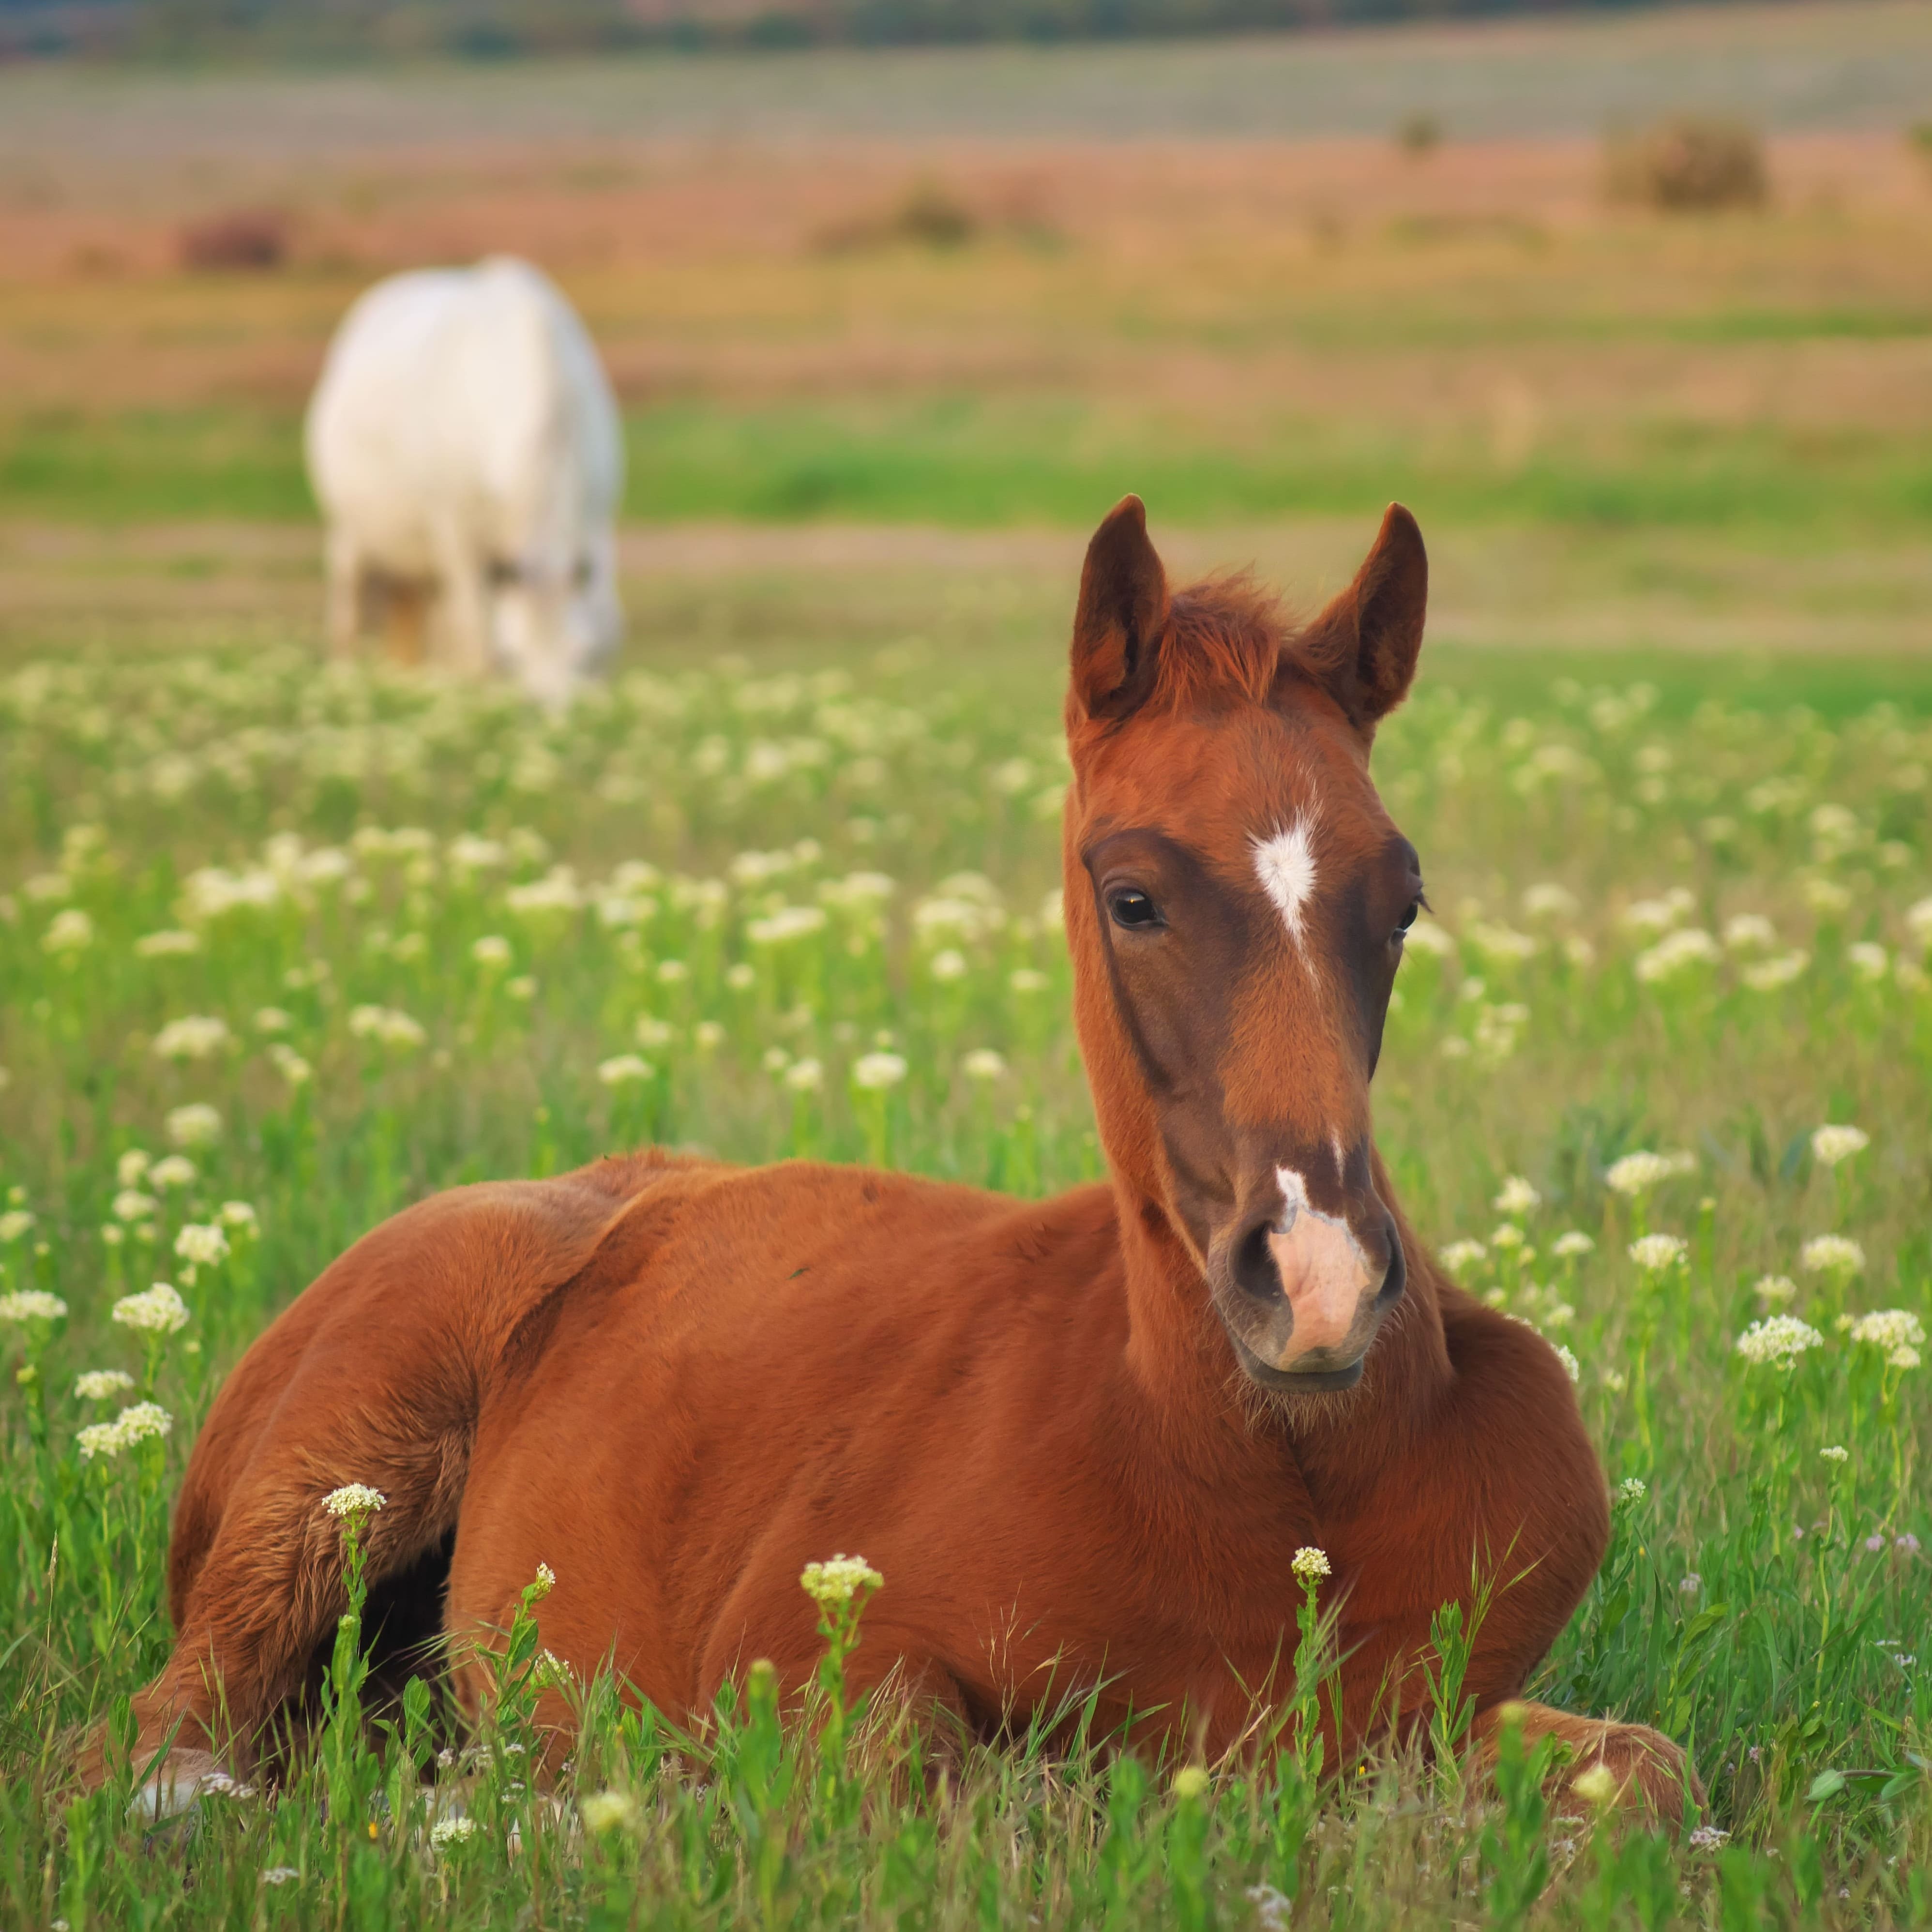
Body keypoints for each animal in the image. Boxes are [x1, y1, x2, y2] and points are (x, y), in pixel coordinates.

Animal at [106, 498, 1693, 1815]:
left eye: (1402, 898)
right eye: (1132, 894)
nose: (1318, 1283)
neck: (1260, 1476)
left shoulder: (1428, 1714)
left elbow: (1646, 1769)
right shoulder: (798, 1664)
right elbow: (942, 1777)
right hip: (333, 1478)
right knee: (167, 1730)